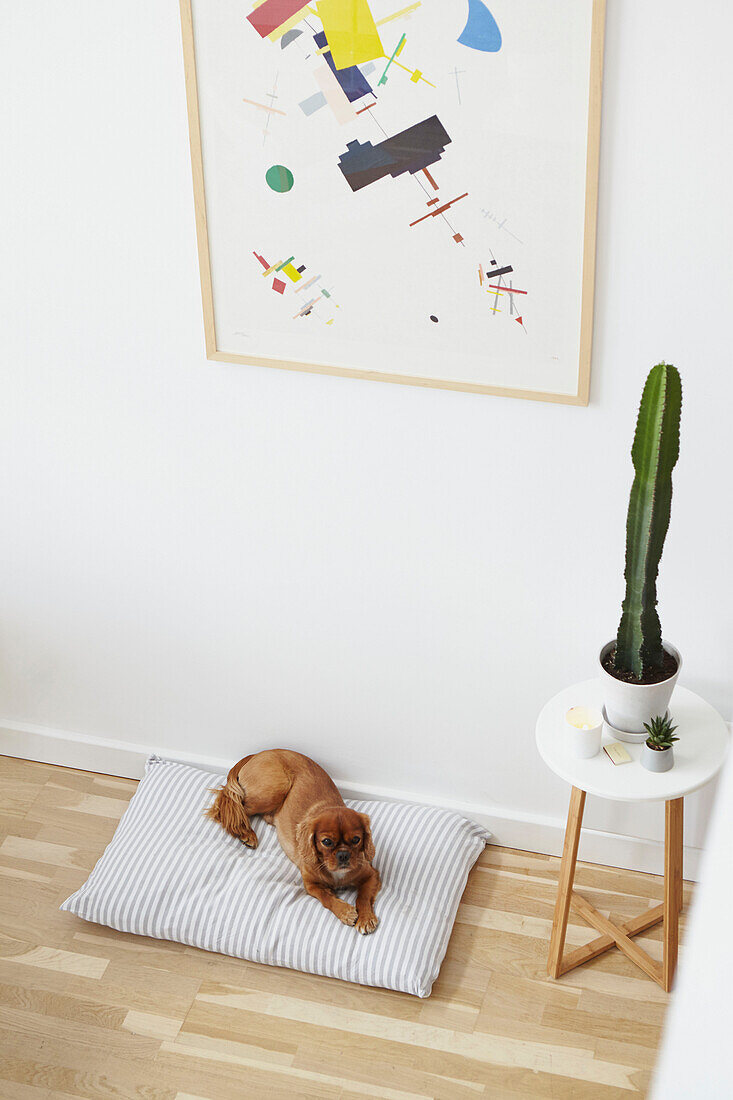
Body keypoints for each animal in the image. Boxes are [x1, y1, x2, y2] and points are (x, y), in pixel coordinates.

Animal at [203, 748, 378, 937]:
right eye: (326, 842)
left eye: (356, 839)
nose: (344, 854)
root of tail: (261, 753)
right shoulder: (311, 885)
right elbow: (327, 898)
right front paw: (345, 912)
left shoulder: (371, 874)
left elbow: (363, 896)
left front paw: (366, 918)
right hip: (274, 788)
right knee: (227, 805)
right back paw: (246, 833)